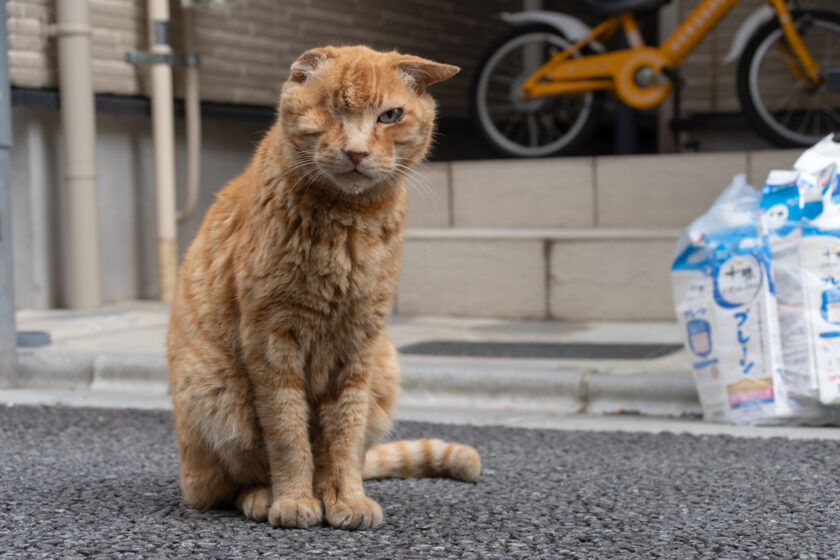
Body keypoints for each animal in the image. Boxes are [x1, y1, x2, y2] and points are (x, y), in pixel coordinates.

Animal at [166, 46, 480, 532]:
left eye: (390, 115)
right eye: (332, 110)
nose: (356, 151)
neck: (347, 225)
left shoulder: (359, 343)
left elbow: (344, 437)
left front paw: (346, 499)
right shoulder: (272, 339)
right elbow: (287, 432)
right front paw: (294, 499)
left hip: (385, 369)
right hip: (213, 393)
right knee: (226, 485)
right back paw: (264, 496)